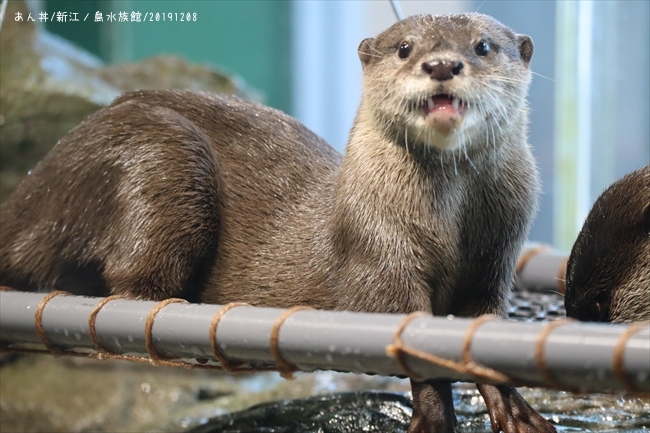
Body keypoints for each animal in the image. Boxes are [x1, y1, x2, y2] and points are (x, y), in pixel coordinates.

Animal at [2, 13, 556, 432]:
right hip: (158, 154)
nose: (441, 64)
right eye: (404, 48)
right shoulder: (380, 255)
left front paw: (515, 411)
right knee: (131, 279)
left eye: (483, 47)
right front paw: (433, 417)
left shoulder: (495, 258)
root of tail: (36, 185)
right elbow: (410, 341)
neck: (449, 225)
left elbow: (478, 332)